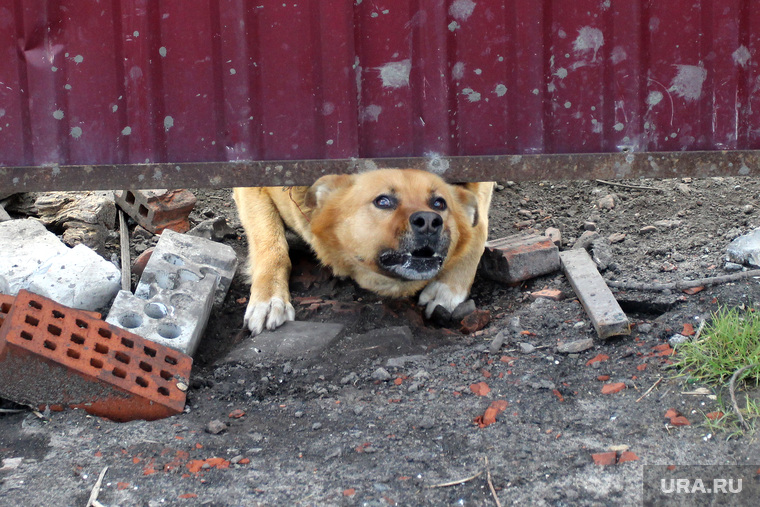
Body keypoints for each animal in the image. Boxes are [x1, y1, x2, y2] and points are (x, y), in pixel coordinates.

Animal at [232, 170, 492, 338]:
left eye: (439, 203)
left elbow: (478, 225)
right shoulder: (252, 184)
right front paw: (269, 297)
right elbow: (271, 247)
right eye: (383, 201)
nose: (429, 222)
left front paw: (449, 287)